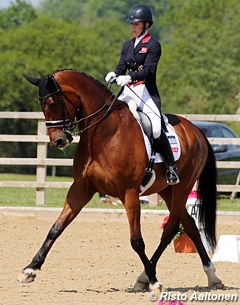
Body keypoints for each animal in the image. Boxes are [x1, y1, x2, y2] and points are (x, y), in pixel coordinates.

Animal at [17, 69, 224, 290]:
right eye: (42, 105)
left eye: (52, 103)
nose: (58, 141)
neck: (103, 133)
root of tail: (197, 130)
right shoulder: (81, 188)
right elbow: (56, 228)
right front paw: (30, 269)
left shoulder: (129, 192)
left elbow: (136, 240)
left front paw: (155, 281)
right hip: (167, 190)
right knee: (190, 226)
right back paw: (211, 276)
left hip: (183, 187)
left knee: (171, 229)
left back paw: (149, 277)